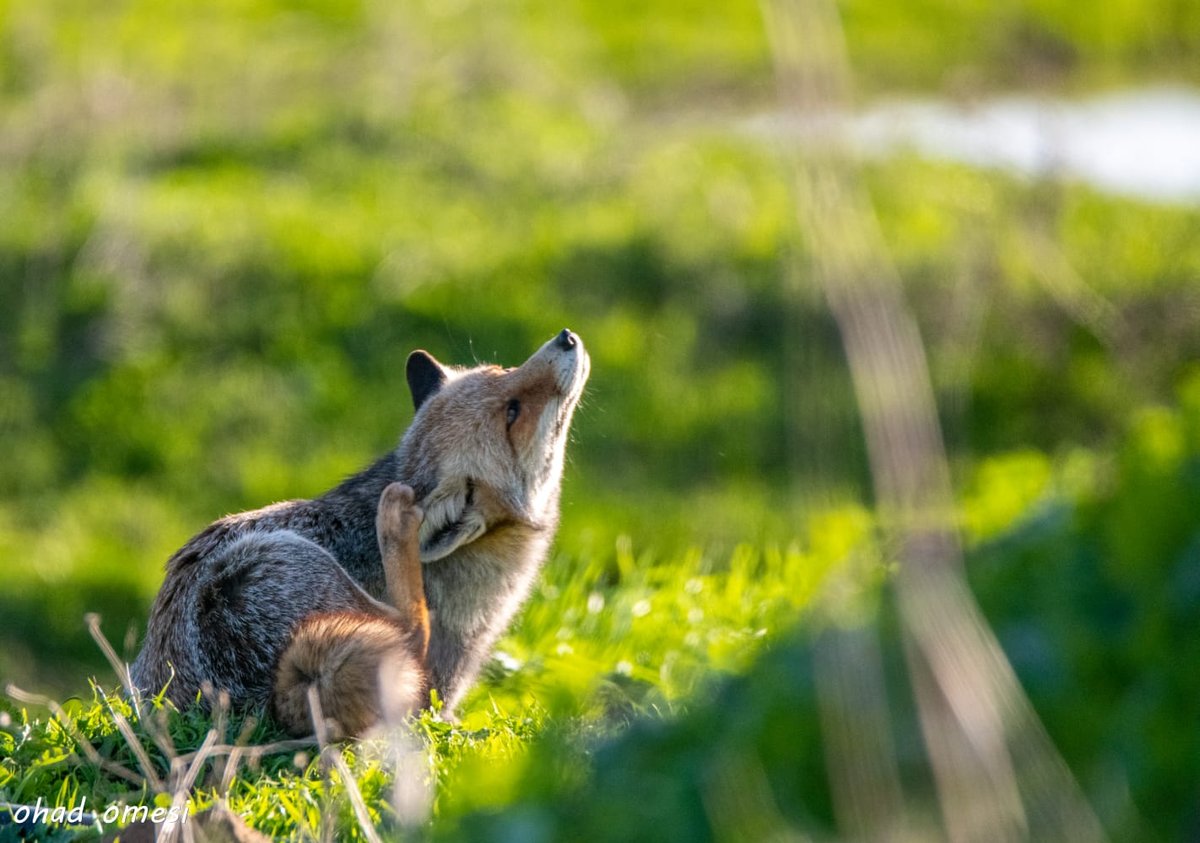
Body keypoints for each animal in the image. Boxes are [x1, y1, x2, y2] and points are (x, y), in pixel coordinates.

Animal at [129, 331, 588, 739]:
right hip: (263, 564)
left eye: (504, 370)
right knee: (410, 633)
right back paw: (395, 524)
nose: (567, 337)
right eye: (512, 413)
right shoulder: (441, 681)